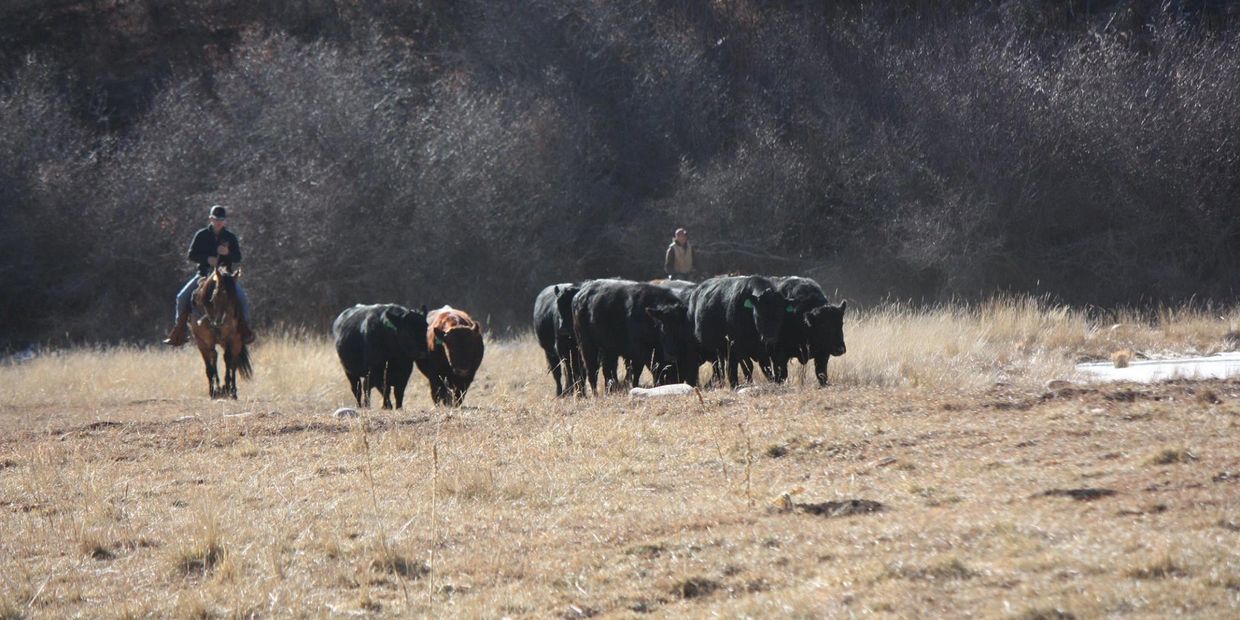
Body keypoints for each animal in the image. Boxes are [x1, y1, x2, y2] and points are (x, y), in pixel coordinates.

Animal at [190, 266, 253, 398]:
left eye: (234, 298)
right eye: (216, 294)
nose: (221, 321)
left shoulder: (231, 339)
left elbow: (228, 361)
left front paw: (227, 388)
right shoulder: (203, 343)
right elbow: (210, 365)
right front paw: (213, 391)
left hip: (235, 342)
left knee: (232, 363)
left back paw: (232, 390)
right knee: (215, 356)